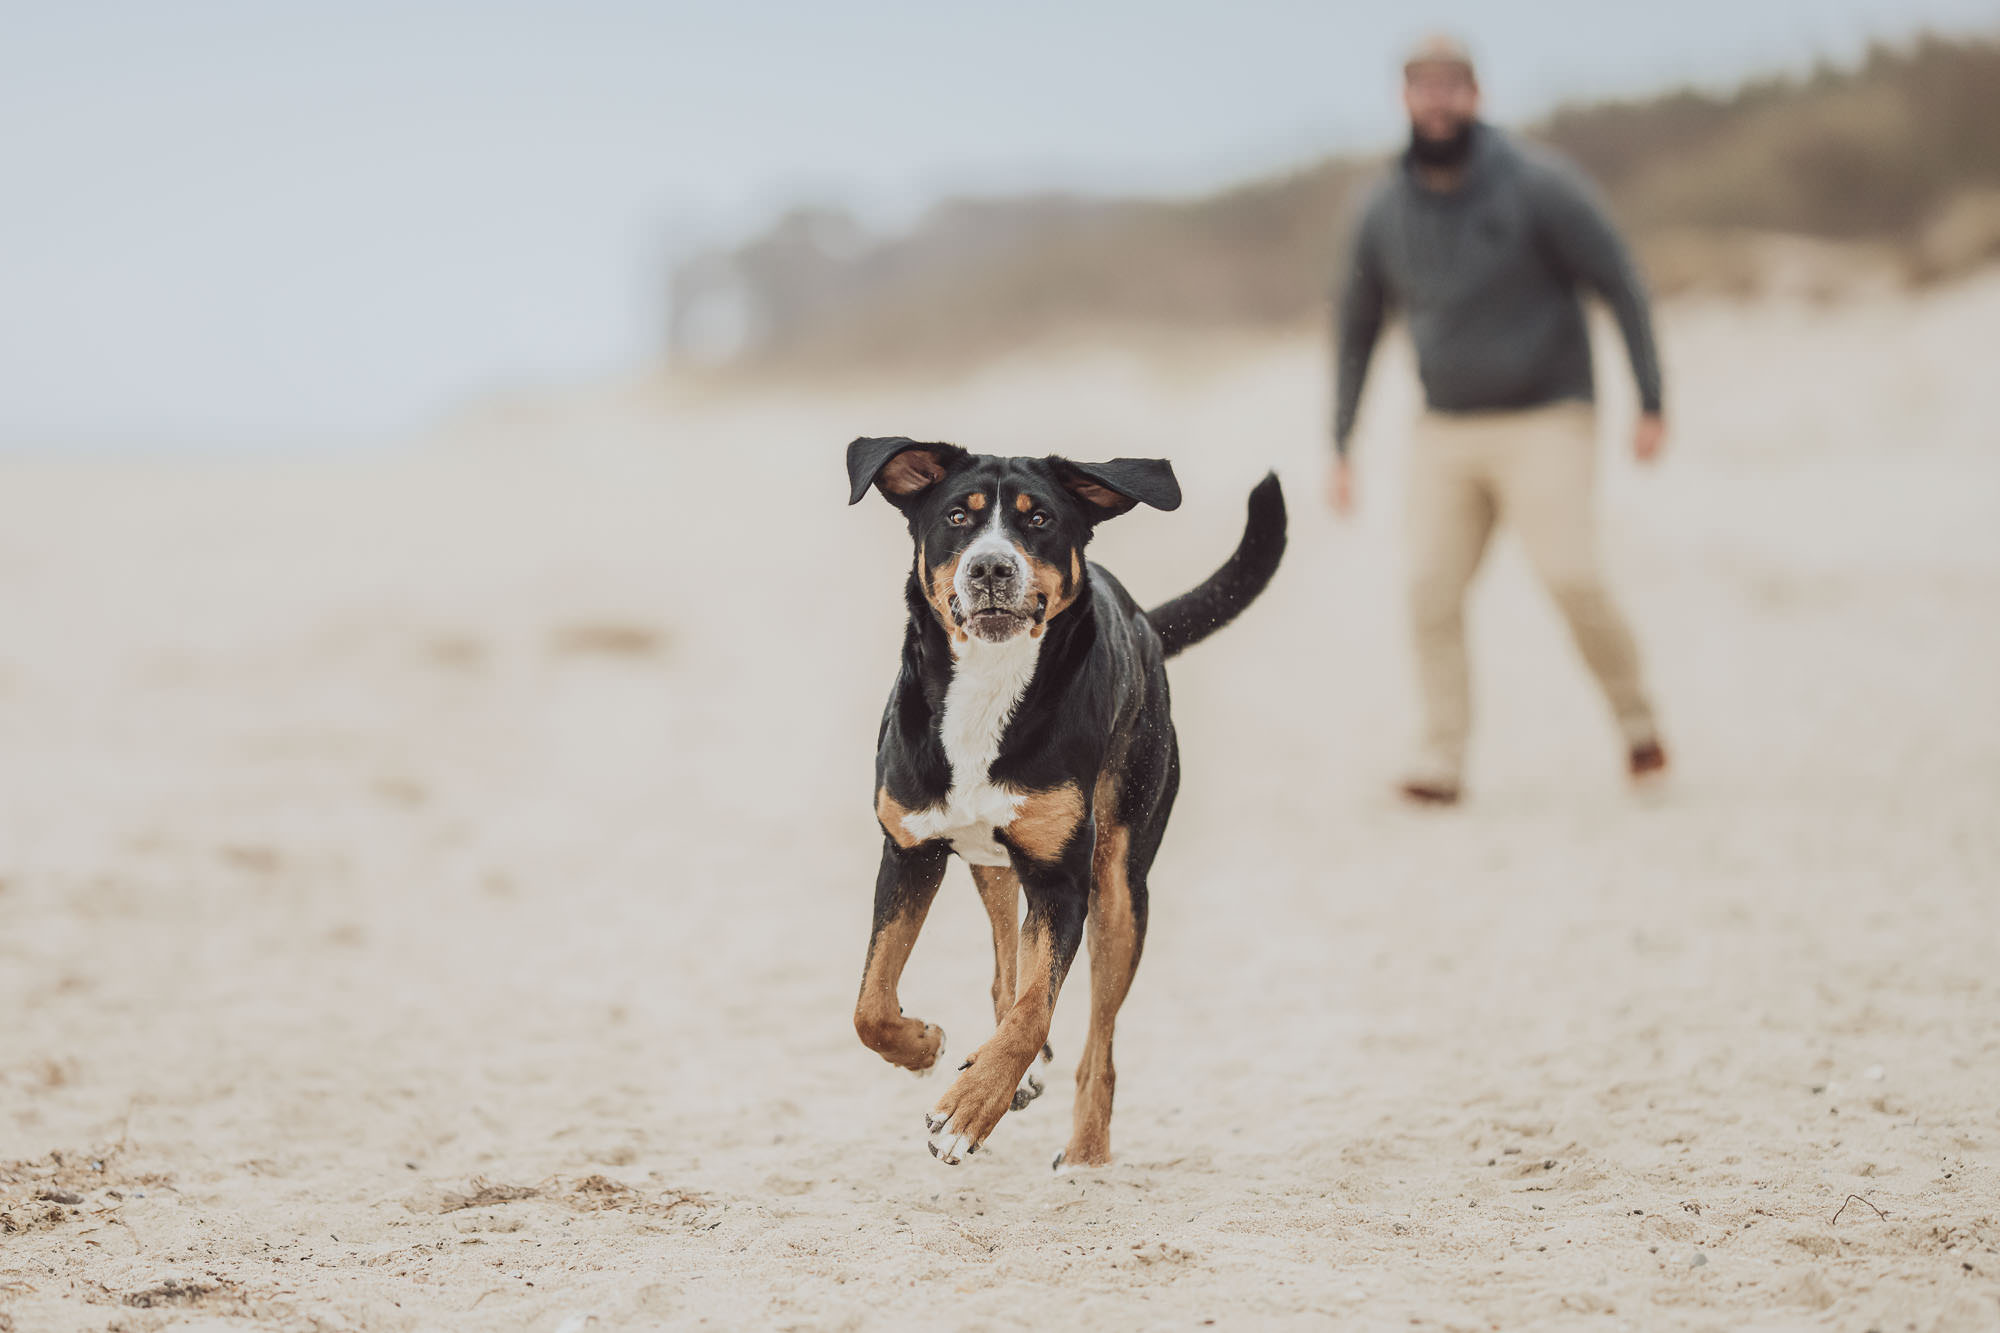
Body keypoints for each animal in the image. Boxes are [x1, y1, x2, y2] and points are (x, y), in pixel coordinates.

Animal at [840, 436, 1280, 1160]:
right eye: (957, 517)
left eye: (1039, 519)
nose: (991, 566)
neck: (990, 686)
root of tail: (1141, 621)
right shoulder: (908, 850)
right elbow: (871, 1005)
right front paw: (925, 1046)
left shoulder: (1063, 881)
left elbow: (1033, 1011)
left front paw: (969, 1107)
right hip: (993, 864)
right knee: (1005, 966)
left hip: (1120, 886)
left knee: (1098, 1040)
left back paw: (1085, 1155)